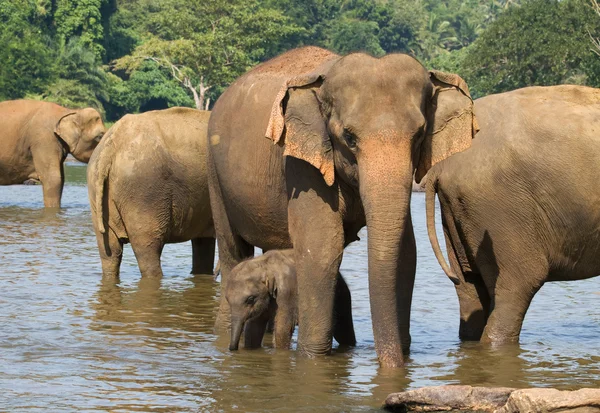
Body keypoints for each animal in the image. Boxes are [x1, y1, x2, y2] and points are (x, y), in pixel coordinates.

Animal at [225, 248, 356, 350]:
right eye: (227, 300)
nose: (232, 349)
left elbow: (282, 328)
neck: (265, 265)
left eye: (250, 299)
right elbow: (253, 327)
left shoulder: (287, 293)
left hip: (341, 294)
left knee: (343, 330)